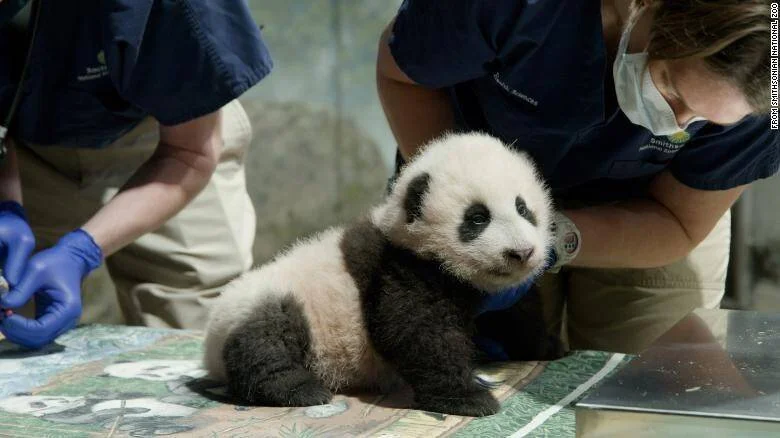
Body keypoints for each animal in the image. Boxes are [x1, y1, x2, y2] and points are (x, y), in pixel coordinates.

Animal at [203, 132, 559, 417]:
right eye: (477, 218)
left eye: (523, 209)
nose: (522, 253)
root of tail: (209, 351)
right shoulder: (398, 268)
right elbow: (416, 332)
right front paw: (469, 398)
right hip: (264, 304)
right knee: (267, 339)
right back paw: (300, 389)